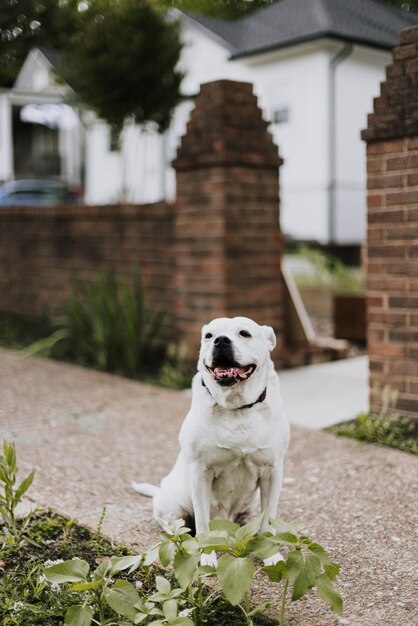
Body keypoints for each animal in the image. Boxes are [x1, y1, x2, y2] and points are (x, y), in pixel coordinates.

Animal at [132, 314, 290, 544]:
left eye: (244, 333)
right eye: (208, 335)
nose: (221, 340)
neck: (236, 407)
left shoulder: (272, 471)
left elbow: (268, 521)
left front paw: (270, 551)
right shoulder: (200, 472)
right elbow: (203, 523)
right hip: (172, 506)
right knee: (176, 525)